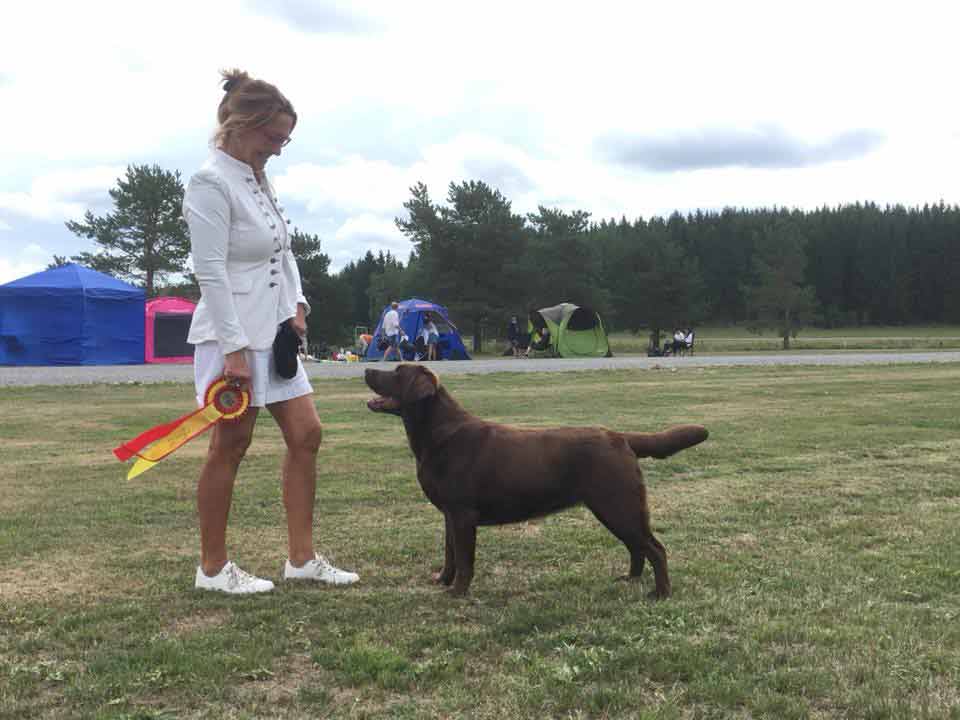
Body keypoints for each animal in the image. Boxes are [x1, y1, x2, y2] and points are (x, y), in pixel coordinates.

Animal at [364, 366, 708, 596]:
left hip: (618, 505)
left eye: (396, 371)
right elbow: (450, 554)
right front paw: (442, 580)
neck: (437, 434)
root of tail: (620, 437)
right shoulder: (449, 514)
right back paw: (630, 579)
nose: (367, 369)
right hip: (614, 509)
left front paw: (457, 592)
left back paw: (660, 592)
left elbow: (464, 559)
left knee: (655, 548)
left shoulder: (462, 514)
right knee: (637, 547)